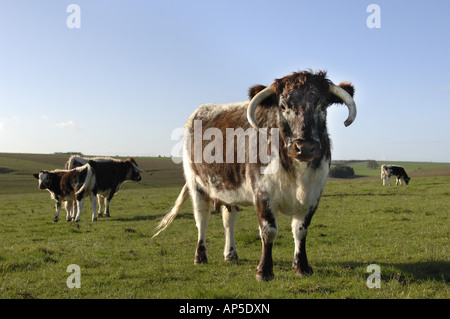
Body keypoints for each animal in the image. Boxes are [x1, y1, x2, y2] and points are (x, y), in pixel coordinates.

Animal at [153, 70, 356, 282]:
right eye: (283, 106)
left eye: (322, 105)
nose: (304, 147)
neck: (297, 174)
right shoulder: (262, 193)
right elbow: (268, 231)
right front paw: (264, 271)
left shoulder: (313, 196)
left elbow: (300, 231)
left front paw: (301, 266)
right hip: (196, 185)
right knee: (202, 220)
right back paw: (200, 257)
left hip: (229, 191)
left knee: (228, 221)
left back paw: (230, 255)